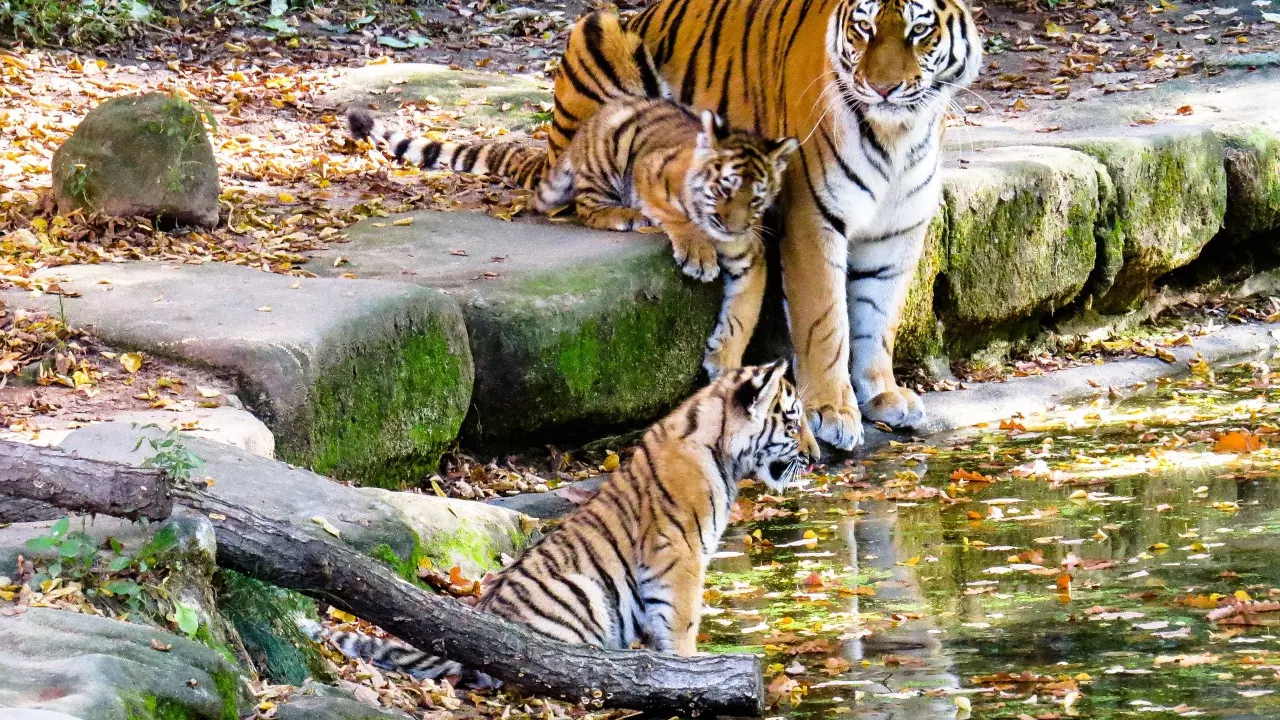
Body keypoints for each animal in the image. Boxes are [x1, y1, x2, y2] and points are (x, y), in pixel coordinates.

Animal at [317, 361, 819, 684]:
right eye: (793, 424)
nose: (817, 458)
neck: (723, 451)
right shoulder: (679, 555)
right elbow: (682, 620)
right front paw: (691, 668)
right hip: (583, 597)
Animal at [536, 97, 799, 379]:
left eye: (756, 199)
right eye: (724, 190)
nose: (735, 231)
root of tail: (586, 127)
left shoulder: (751, 258)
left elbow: (743, 315)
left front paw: (725, 362)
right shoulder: (648, 168)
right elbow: (676, 215)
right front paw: (698, 256)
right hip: (608, 154)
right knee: (587, 205)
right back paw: (627, 215)